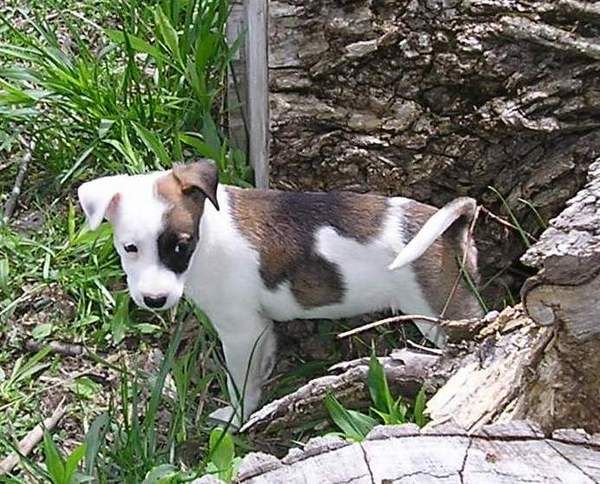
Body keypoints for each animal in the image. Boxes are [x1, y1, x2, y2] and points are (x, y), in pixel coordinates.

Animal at [78, 159, 482, 426]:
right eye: (130, 248)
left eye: (181, 245)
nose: (154, 300)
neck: (209, 233)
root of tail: (452, 225)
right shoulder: (259, 330)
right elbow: (259, 372)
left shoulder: (240, 333)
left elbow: (240, 382)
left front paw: (237, 418)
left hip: (442, 311)